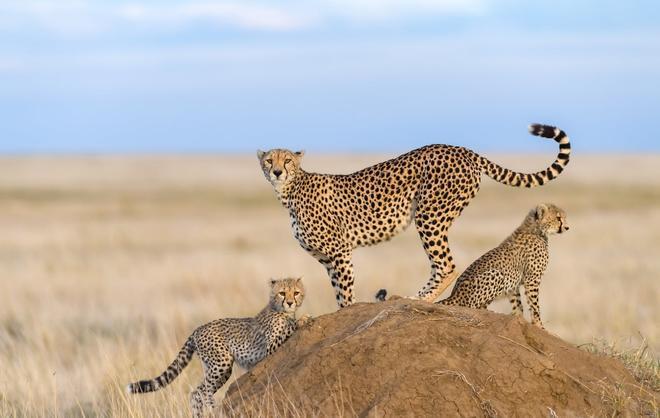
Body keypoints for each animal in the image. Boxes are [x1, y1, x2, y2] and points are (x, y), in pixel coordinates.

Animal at [126, 278, 310, 418]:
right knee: (204, 390)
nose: (290, 302)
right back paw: (213, 408)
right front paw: (302, 320)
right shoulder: (270, 348)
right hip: (221, 362)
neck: (281, 310)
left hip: (217, 368)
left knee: (196, 392)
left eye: (296, 292)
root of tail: (198, 329)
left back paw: (199, 414)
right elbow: (288, 329)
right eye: (282, 293)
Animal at [260, 124, 568, 306]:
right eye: (268, 160)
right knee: (440, 265)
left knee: (446, 264)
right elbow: (337, 291)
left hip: (430, 215)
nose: (277, 171)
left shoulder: (339, 252)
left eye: (287, 160)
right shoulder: (327, 258)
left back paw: (426, 299)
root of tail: (461, 149)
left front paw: (346, 312)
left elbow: (345, 292)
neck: (290, 190)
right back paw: (413, 297)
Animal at [438, 204, 568, 328]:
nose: (567, 227)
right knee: (472, 307)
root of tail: (454, 294)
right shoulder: (532, 279)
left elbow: (517, 304)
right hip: (496, 273)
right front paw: (539, 325)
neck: (536, 230)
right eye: (558, 218)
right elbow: (534, 305)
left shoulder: (514, 283)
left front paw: (519, 319)